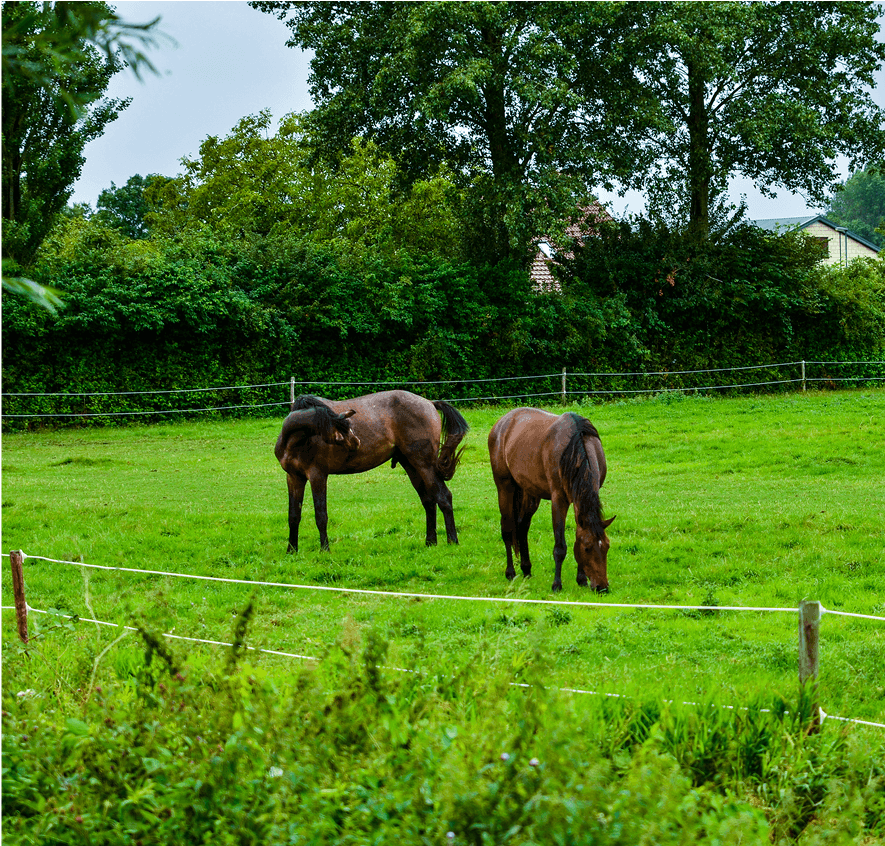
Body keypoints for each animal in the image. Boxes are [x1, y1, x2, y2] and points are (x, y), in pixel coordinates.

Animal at [274, 390, 469, 552]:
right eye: (340, 428)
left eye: (348, 425)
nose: (356, 442)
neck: (296, 441)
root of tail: (429, 403)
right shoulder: (294, 477)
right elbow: (293, 516)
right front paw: (291, 550)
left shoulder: (318, 476)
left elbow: (321, 515)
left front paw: (325, 550)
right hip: (411, 466)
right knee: (429, 501)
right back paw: (430, 542)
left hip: (425, 465)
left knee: (443, 497)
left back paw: (452, 541)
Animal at [488, 407, 614, 592]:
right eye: (587, 548)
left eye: (606, 546)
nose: (602, 587)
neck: (575, 449)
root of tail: (502, 422)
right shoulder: (559, 500)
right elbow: (560, 547)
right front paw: (557, 584)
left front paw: (581, 580)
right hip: (505, 487)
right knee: (507, 529)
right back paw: (510, 572)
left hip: (530, 493)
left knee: (522, 527)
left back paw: (526, 569)